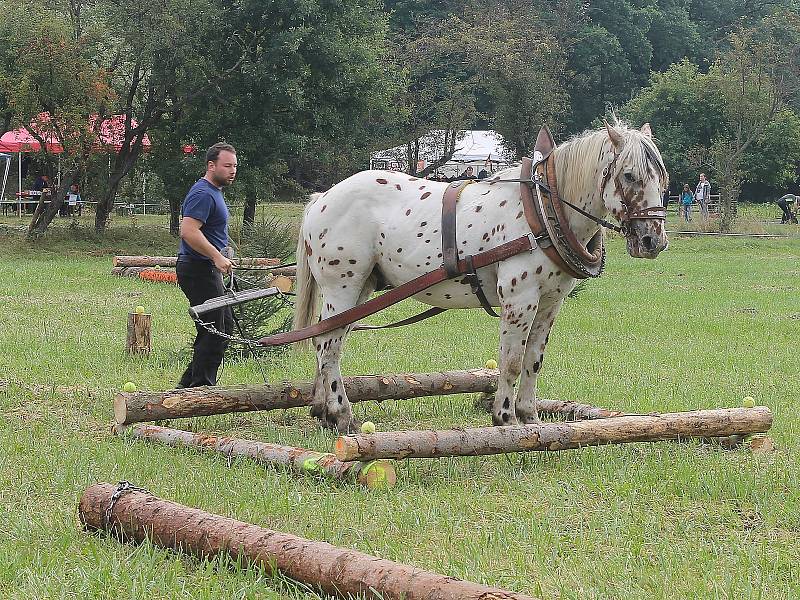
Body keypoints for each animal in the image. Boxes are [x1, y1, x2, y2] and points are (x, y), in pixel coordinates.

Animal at [292, 122, 668, 432]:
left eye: (662, 178)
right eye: (629, 175)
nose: (654, 240)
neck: (543, 212)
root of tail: (323, 197)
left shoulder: (550, 303)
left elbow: (533, 360)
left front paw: (530, 416)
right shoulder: (519, 300)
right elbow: (511, 361)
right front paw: (505, 417)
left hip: (362, 289)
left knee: (327, 341)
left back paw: (323, 412)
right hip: (342, 286)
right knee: (329, 347)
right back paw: (342, 416)